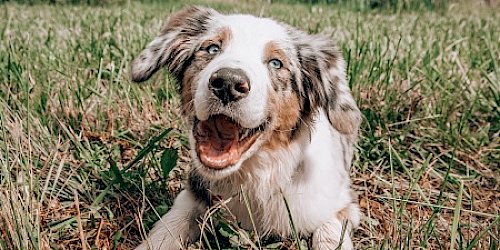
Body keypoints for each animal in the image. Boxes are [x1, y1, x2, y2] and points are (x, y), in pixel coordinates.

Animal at [131, 6, 362, 250]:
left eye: (276, 63)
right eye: (212, 48)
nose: (228, 83)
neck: (255, 174)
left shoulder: (340, 203)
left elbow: (329, 232)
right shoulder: (193, 195)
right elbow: (168, 227)